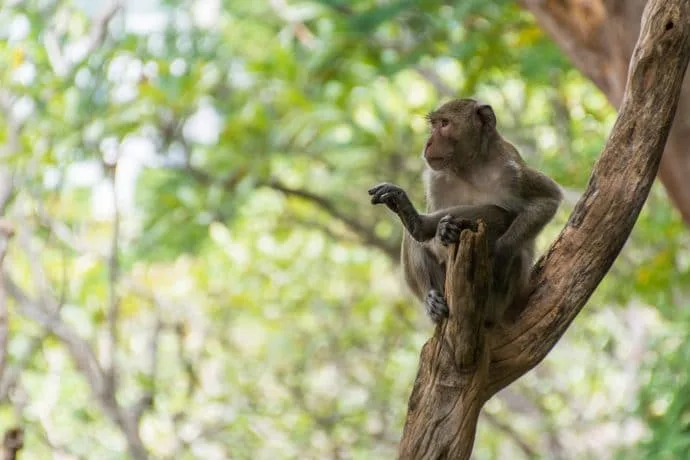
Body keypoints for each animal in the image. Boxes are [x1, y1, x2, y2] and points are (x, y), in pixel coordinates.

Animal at [368, 98, 562, 326]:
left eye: (444, 124)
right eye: (434, 125)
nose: (428, 143)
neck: (471, 167)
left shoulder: (512, 171)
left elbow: (548, 199)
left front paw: (501, 253)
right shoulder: (436, 179)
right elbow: (436, 244)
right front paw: (438, 229)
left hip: (502, 301)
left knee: (501, 217)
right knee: (414, 238)